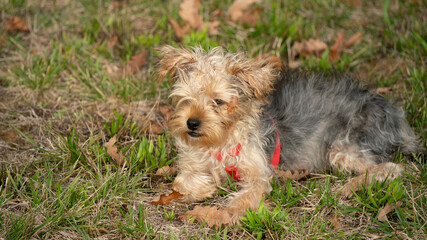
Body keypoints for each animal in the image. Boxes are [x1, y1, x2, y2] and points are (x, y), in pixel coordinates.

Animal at [157, 44, 422, 221]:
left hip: (344, 148)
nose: (192, 123)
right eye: (186, 98)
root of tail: (395, 114)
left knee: (391, 168)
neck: (219, 141)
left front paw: (230, 209)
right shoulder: (193, 164)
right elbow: (183, 183)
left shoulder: (259, 173)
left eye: (219, 101)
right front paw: (206, 186)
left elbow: (247, 195)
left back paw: (350, 187)